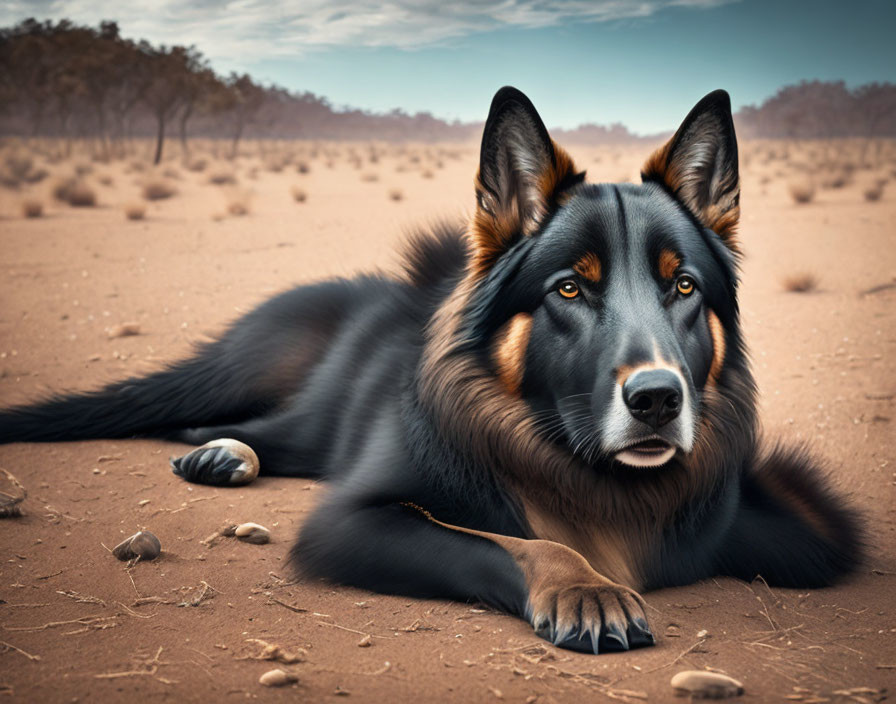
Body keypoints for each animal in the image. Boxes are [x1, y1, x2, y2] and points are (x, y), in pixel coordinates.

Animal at [1, 86, 868, 656]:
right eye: (570, 288)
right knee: (232, 422)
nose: (657, 399)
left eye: (683, 287)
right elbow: (500, 538)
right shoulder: (350, 520)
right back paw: (222, 451)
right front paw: (583, 586)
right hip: (294, 405)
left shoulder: (807, 526)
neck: (584, 466)